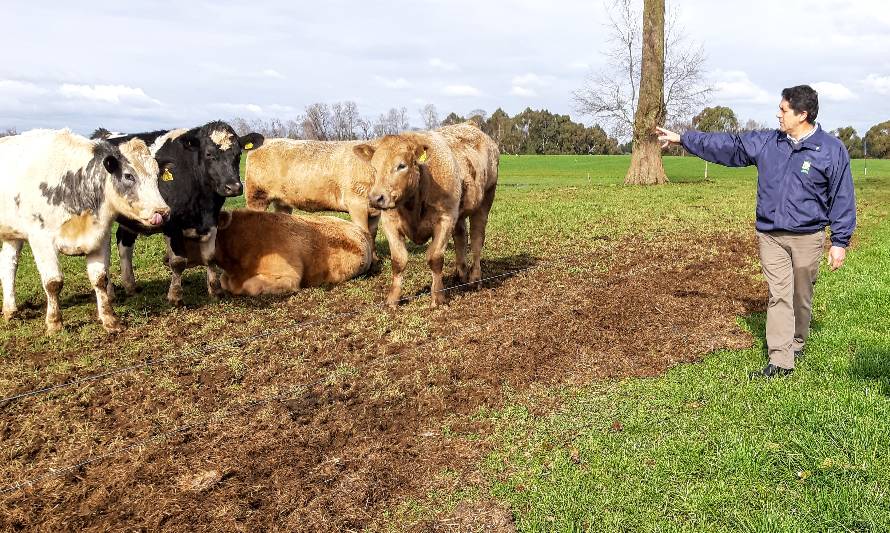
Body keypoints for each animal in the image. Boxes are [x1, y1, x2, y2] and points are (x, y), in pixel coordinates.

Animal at [0, 128, 169, 332]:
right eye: (129, 175)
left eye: (157, 176)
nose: (163, 211)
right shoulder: (41, 239)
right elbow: (53, 282)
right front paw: (54, 323)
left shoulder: (100, 237)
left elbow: (100, 279)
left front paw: (110, 319)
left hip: (12, 234)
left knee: (8, 264)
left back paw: (10, 310)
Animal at [93, 120, 262, 304]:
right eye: (209, 153)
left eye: (238, 154)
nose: (233, 187)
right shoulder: (171, 223)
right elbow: (178, 261)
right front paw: (175, 295)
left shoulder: (212, 221)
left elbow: (210, 257)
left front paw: (215, 290)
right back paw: (110, 294)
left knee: (125, 244)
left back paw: (130, 287)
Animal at [243, 138, 382, 256]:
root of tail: (267, 140)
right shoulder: (356, 204)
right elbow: (364, 231)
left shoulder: (375, 211)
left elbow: (372, 232)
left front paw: (375, 258)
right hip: (256, 196)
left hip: (282, 202)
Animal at [350, 118, 496, 306]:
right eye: (374, 168)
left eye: (401, 166)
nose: (376, 198)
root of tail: (470, 125)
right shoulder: (390, 223)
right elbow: (398, 260)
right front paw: (393, 299)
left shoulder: (445, 219)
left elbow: (435, 258)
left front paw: (438, 297)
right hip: (459, 211)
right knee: (461, 237)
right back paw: (460, 273)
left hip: (485, 200)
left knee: (477, 240)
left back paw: (475, 279)